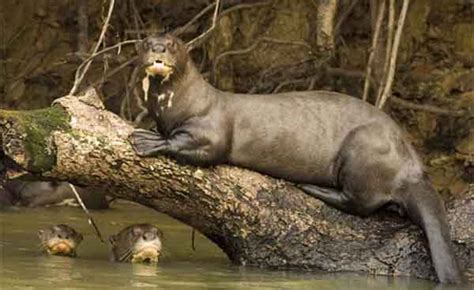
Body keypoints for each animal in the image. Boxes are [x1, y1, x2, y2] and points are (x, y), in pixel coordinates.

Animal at [128, 34, 462, 284]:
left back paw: (314, 188)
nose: (158, 48)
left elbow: (202, 146)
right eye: (146, 42)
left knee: (361, 203)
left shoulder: (210, 128)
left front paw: (148, 140)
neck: (179, 105)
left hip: (362, 151)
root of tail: (412, 166)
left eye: (172, 44)